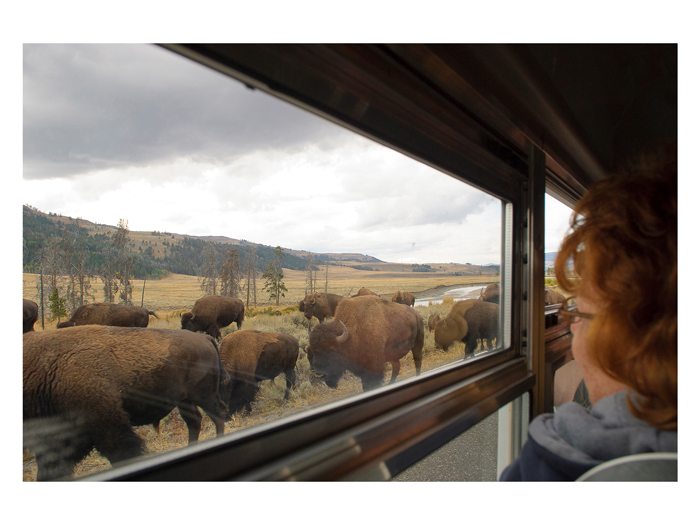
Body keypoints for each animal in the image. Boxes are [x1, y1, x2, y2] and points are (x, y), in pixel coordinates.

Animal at [23, 326, 231, 482]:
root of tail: (205, 338)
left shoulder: (107, 426)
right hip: (185, 400)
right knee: (195, 422)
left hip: (204, 395)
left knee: (218, 413)